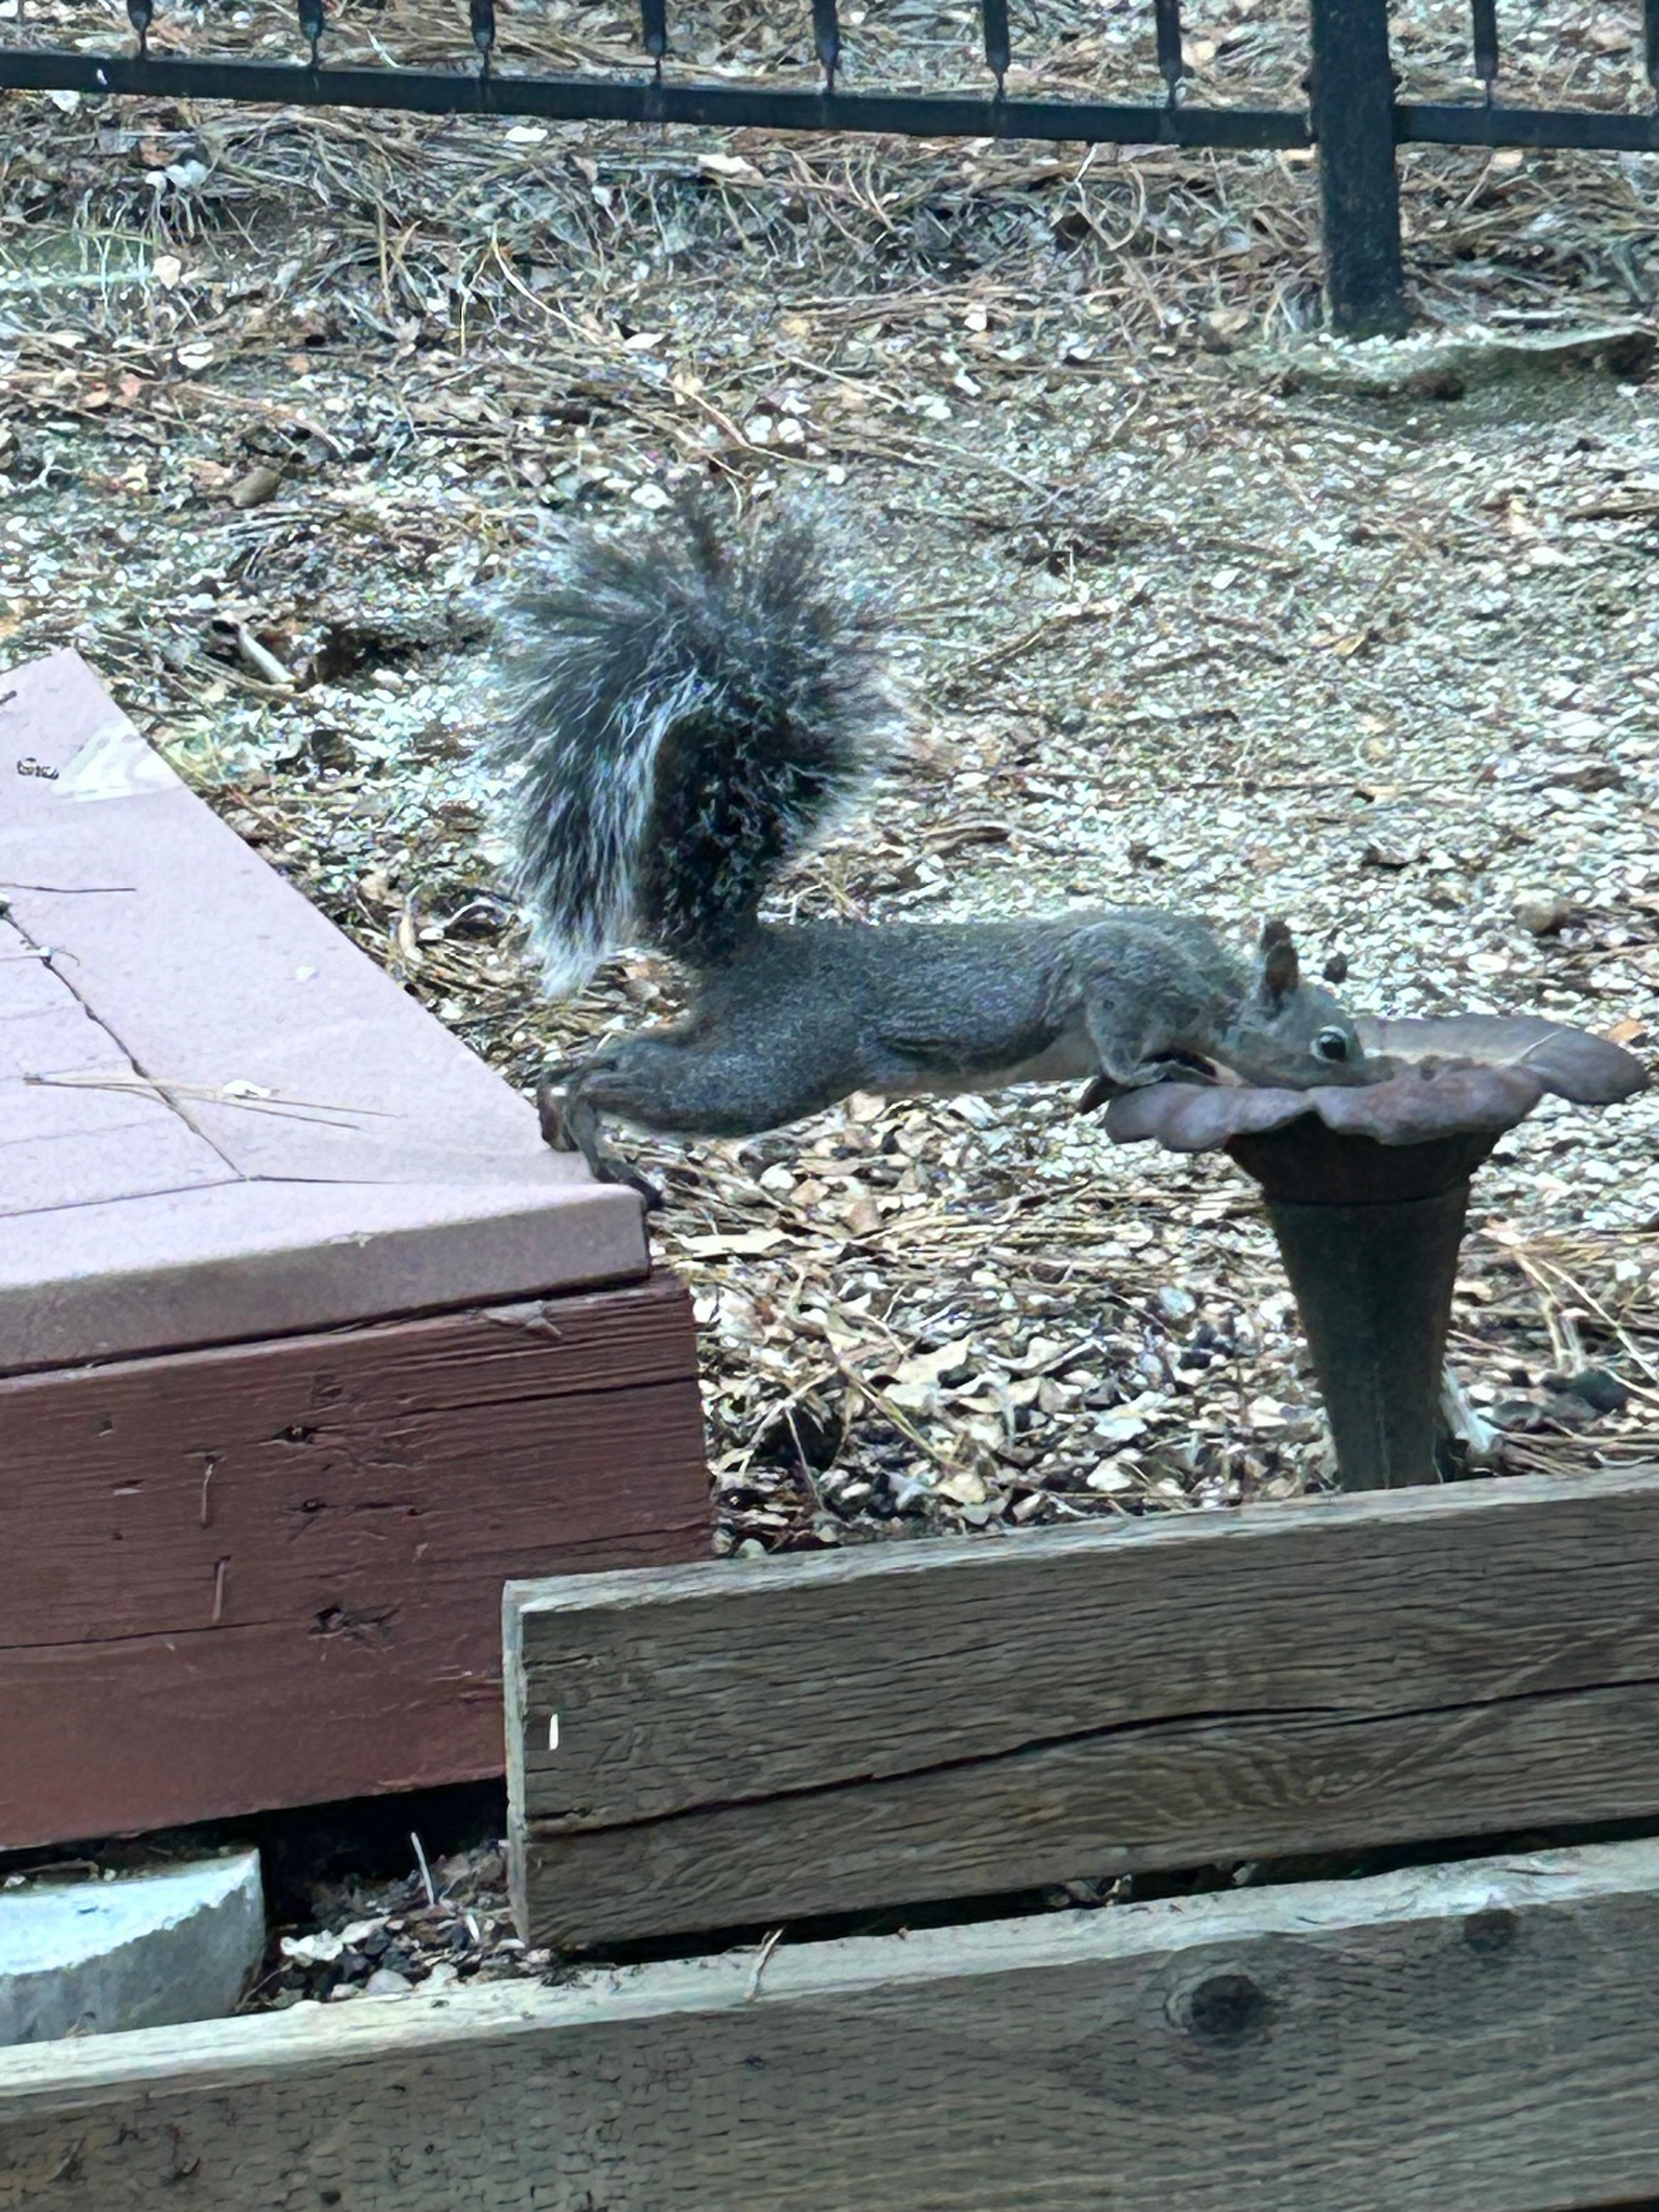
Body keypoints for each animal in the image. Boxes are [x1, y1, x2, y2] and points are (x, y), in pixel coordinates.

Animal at [487, 492, 1368, 1207]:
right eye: (1332, 1044)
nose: (1369, 1081)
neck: (1216, 987)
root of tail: (756, 951)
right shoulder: (1125, 974)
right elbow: (1121, 1041)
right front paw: (1147, 1073)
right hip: (777, 1061)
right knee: (644, 1081)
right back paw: (591, 1125)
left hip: (729, 1035)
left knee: (623, 1052)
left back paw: (557, 1099)